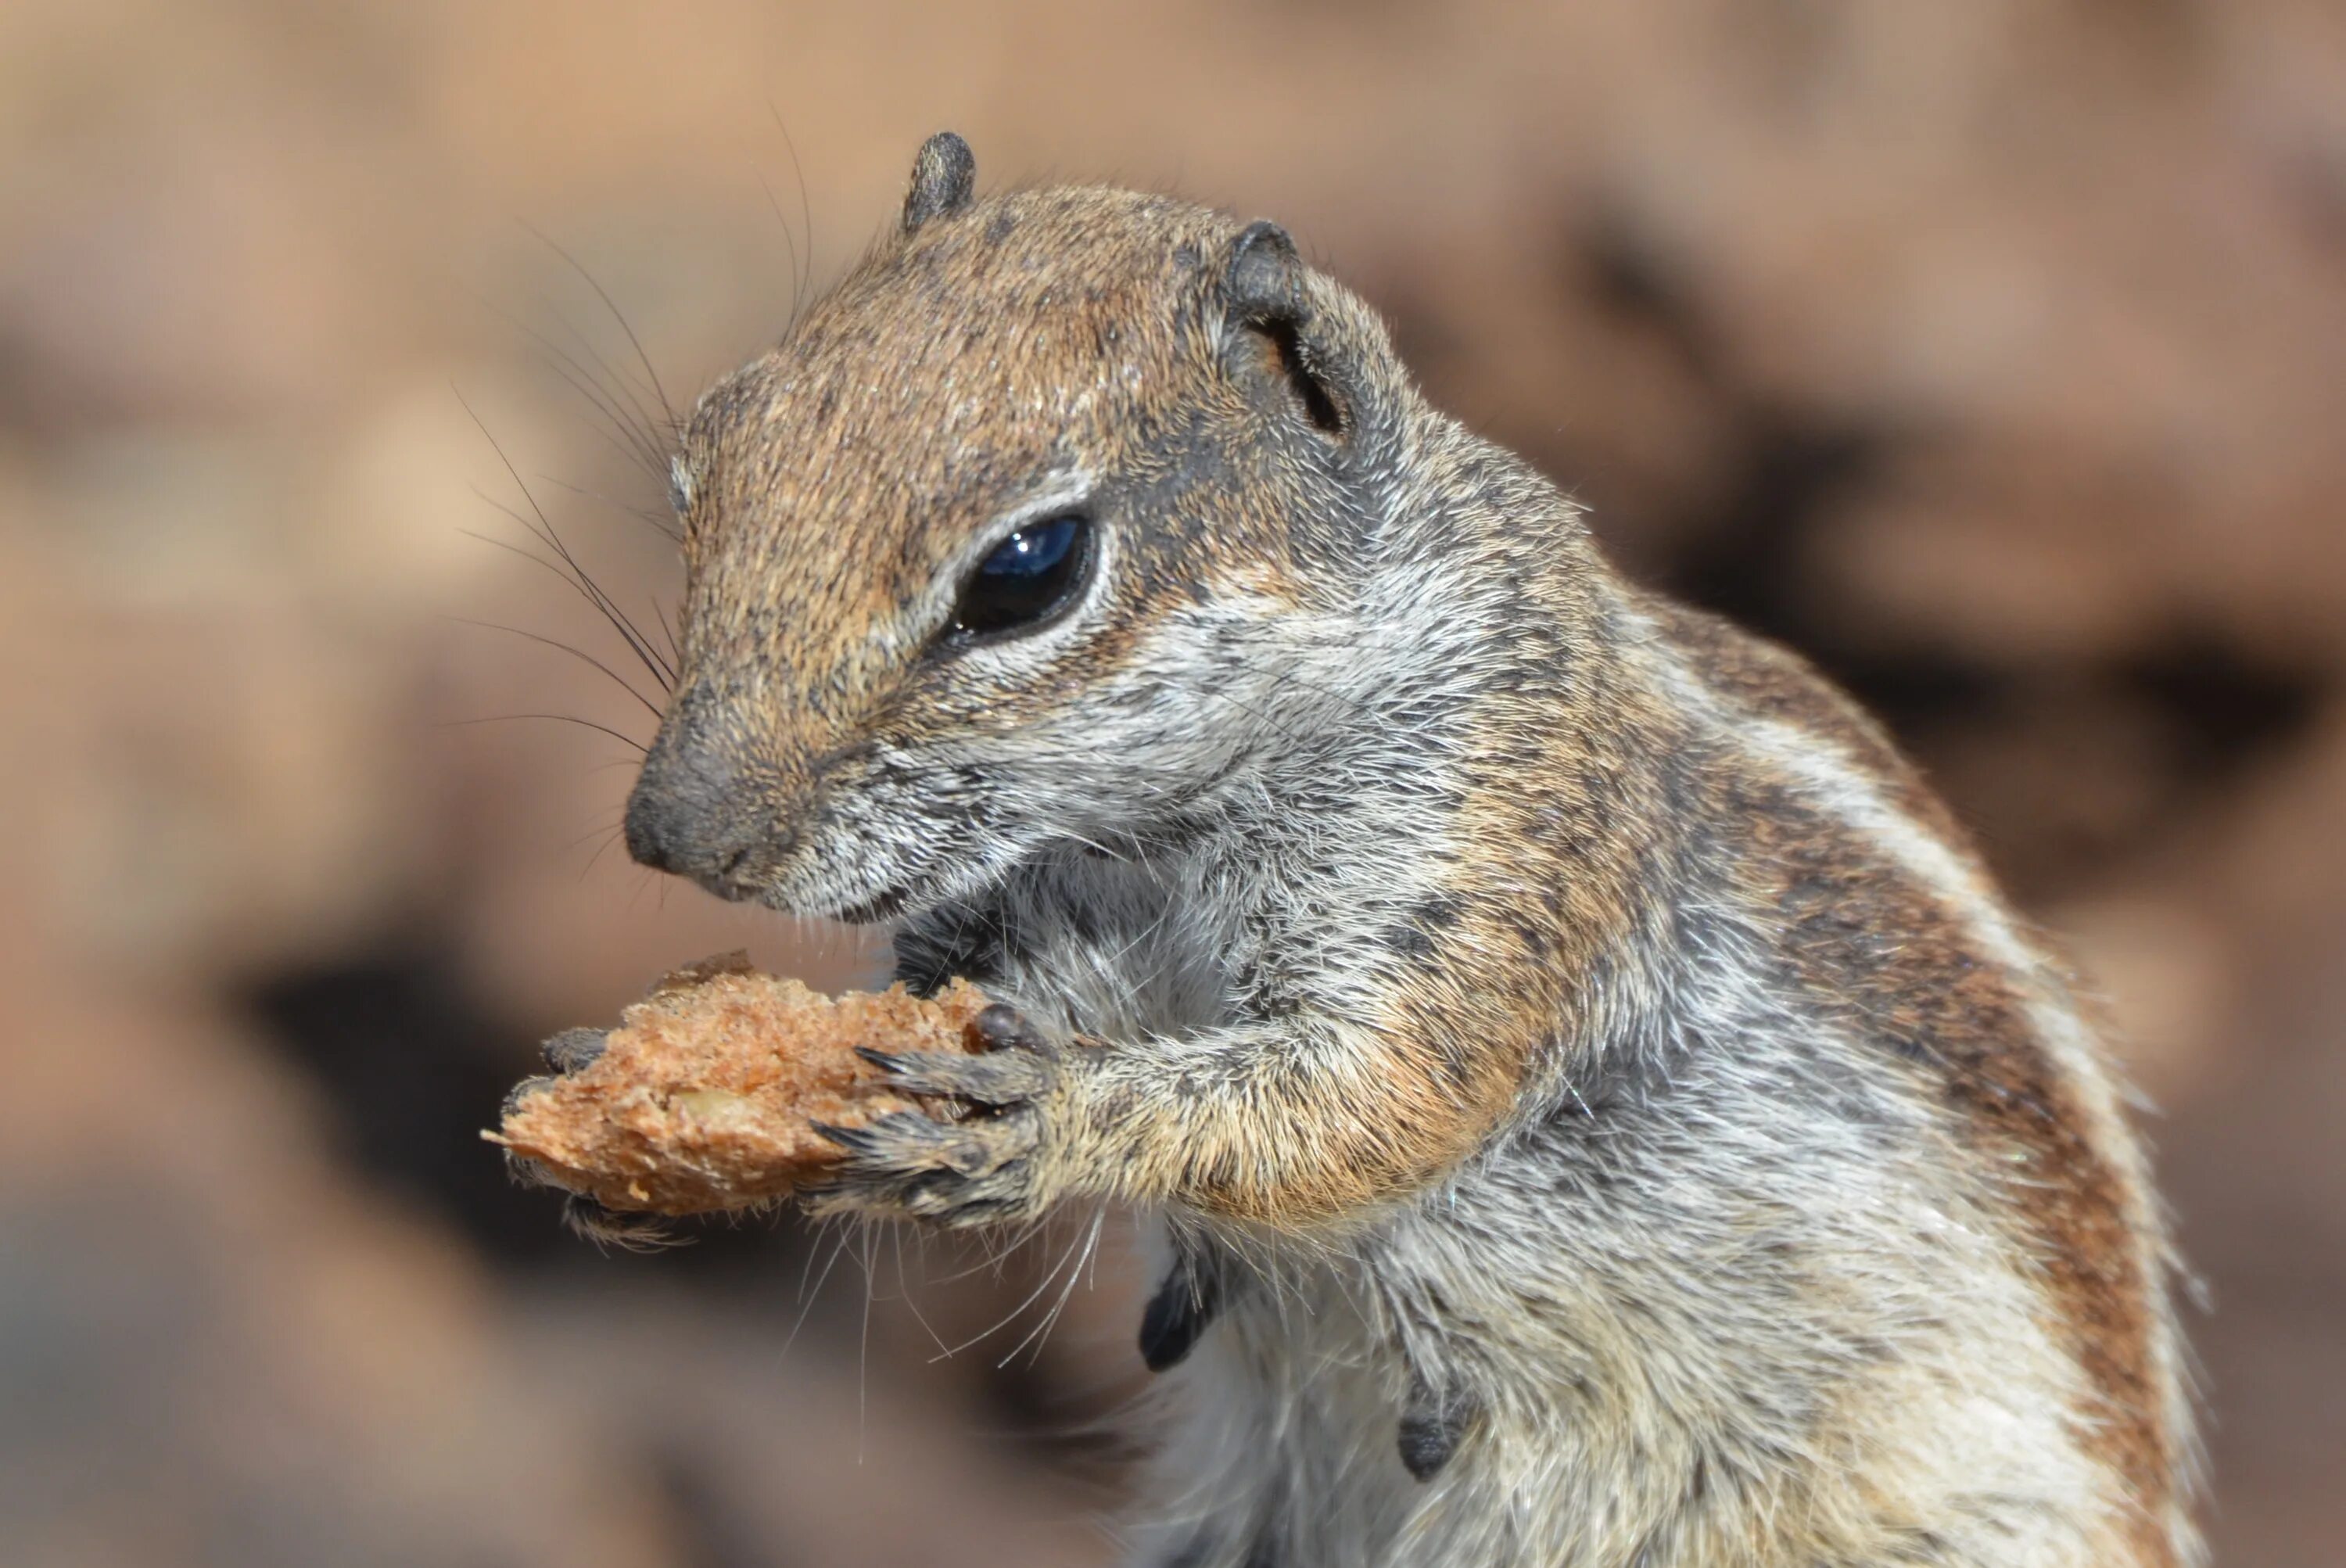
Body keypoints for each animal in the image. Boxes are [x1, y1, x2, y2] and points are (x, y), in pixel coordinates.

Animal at [591, 135, 2196, 1568]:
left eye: (1030, 571)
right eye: (706, 458)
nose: (669, 833)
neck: (1148, 840)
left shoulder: (1503, 834)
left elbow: (1366, 1095)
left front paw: (1043, 1120)